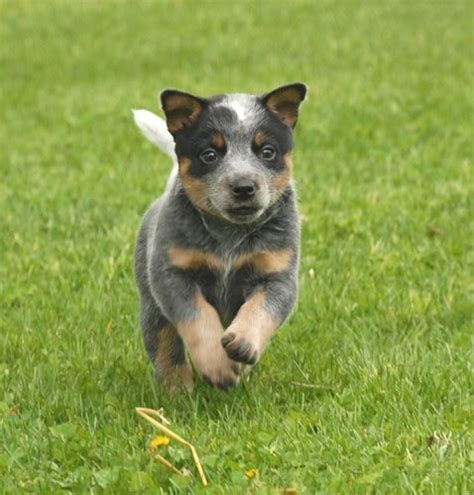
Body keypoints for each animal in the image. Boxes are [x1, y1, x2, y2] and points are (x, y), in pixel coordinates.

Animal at [132, 83, 308, 392]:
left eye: (267, 151)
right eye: (209, 155)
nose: (244, 186)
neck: (229, 235)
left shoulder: (277, 276)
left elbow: (260, 309)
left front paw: (243, 346)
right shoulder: (172, 275)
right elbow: (198, 317)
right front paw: (217, 365)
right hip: (152, 307)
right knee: (166, 349)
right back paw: (177, 392)